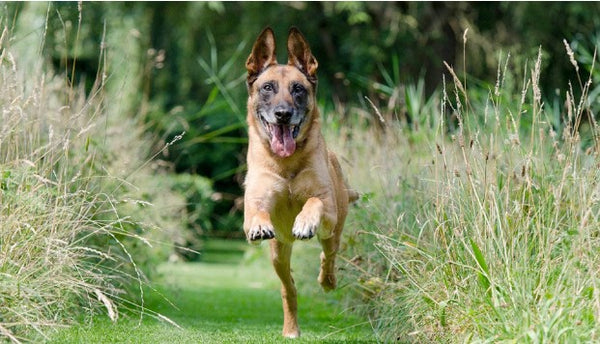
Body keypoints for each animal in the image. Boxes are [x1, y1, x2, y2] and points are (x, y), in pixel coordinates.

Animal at [243, 27, 356, 338]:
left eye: (298, 89)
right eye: (267, 88)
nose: (283, 114)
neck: (287, 163)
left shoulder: (326, 204)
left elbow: (314, 201)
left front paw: (305, 221)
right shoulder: (256, 199)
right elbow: (256, 211)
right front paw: (259, 224)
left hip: (333, 231)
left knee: (328, 256)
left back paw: (327, 280)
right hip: (278, 253)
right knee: (289, 288)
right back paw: (291, 327)